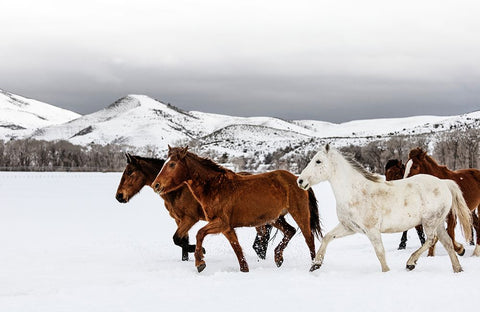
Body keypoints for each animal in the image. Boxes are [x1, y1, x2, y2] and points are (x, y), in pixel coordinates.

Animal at [114, 154, 276, 260]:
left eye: (129, 172)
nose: (119, 196)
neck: (178, 189)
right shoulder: (179, 220)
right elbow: (182, 241)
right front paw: (187, 258)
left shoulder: (190, 219)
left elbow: (177, 239)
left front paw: (201, 250)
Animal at [152, 145, 320, 272]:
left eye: (172, 164)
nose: (156, 185)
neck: (216, 187)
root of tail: (298, 180)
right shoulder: (227, 228)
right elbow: (237, 249)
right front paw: (244, 270)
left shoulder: (221, 223)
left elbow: (200, 234)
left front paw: (200, 263)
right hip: (275, 218)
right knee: (290, 231)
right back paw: (278, 258)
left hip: (300, 214)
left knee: (309, 239)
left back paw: (314, 266)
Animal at [298, 144, 470, 272]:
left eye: (318, 161)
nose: (300, 181)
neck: (355, 192)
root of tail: (444, 183)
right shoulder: (349, 227)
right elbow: (327, 237)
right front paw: (316, 265)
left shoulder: (372, 230)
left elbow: (380, 253)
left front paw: (386, 272)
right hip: (437, 223)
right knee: (447, 242)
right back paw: (457, 268)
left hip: (429, 222)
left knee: (432, 240)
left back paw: (410, 263)